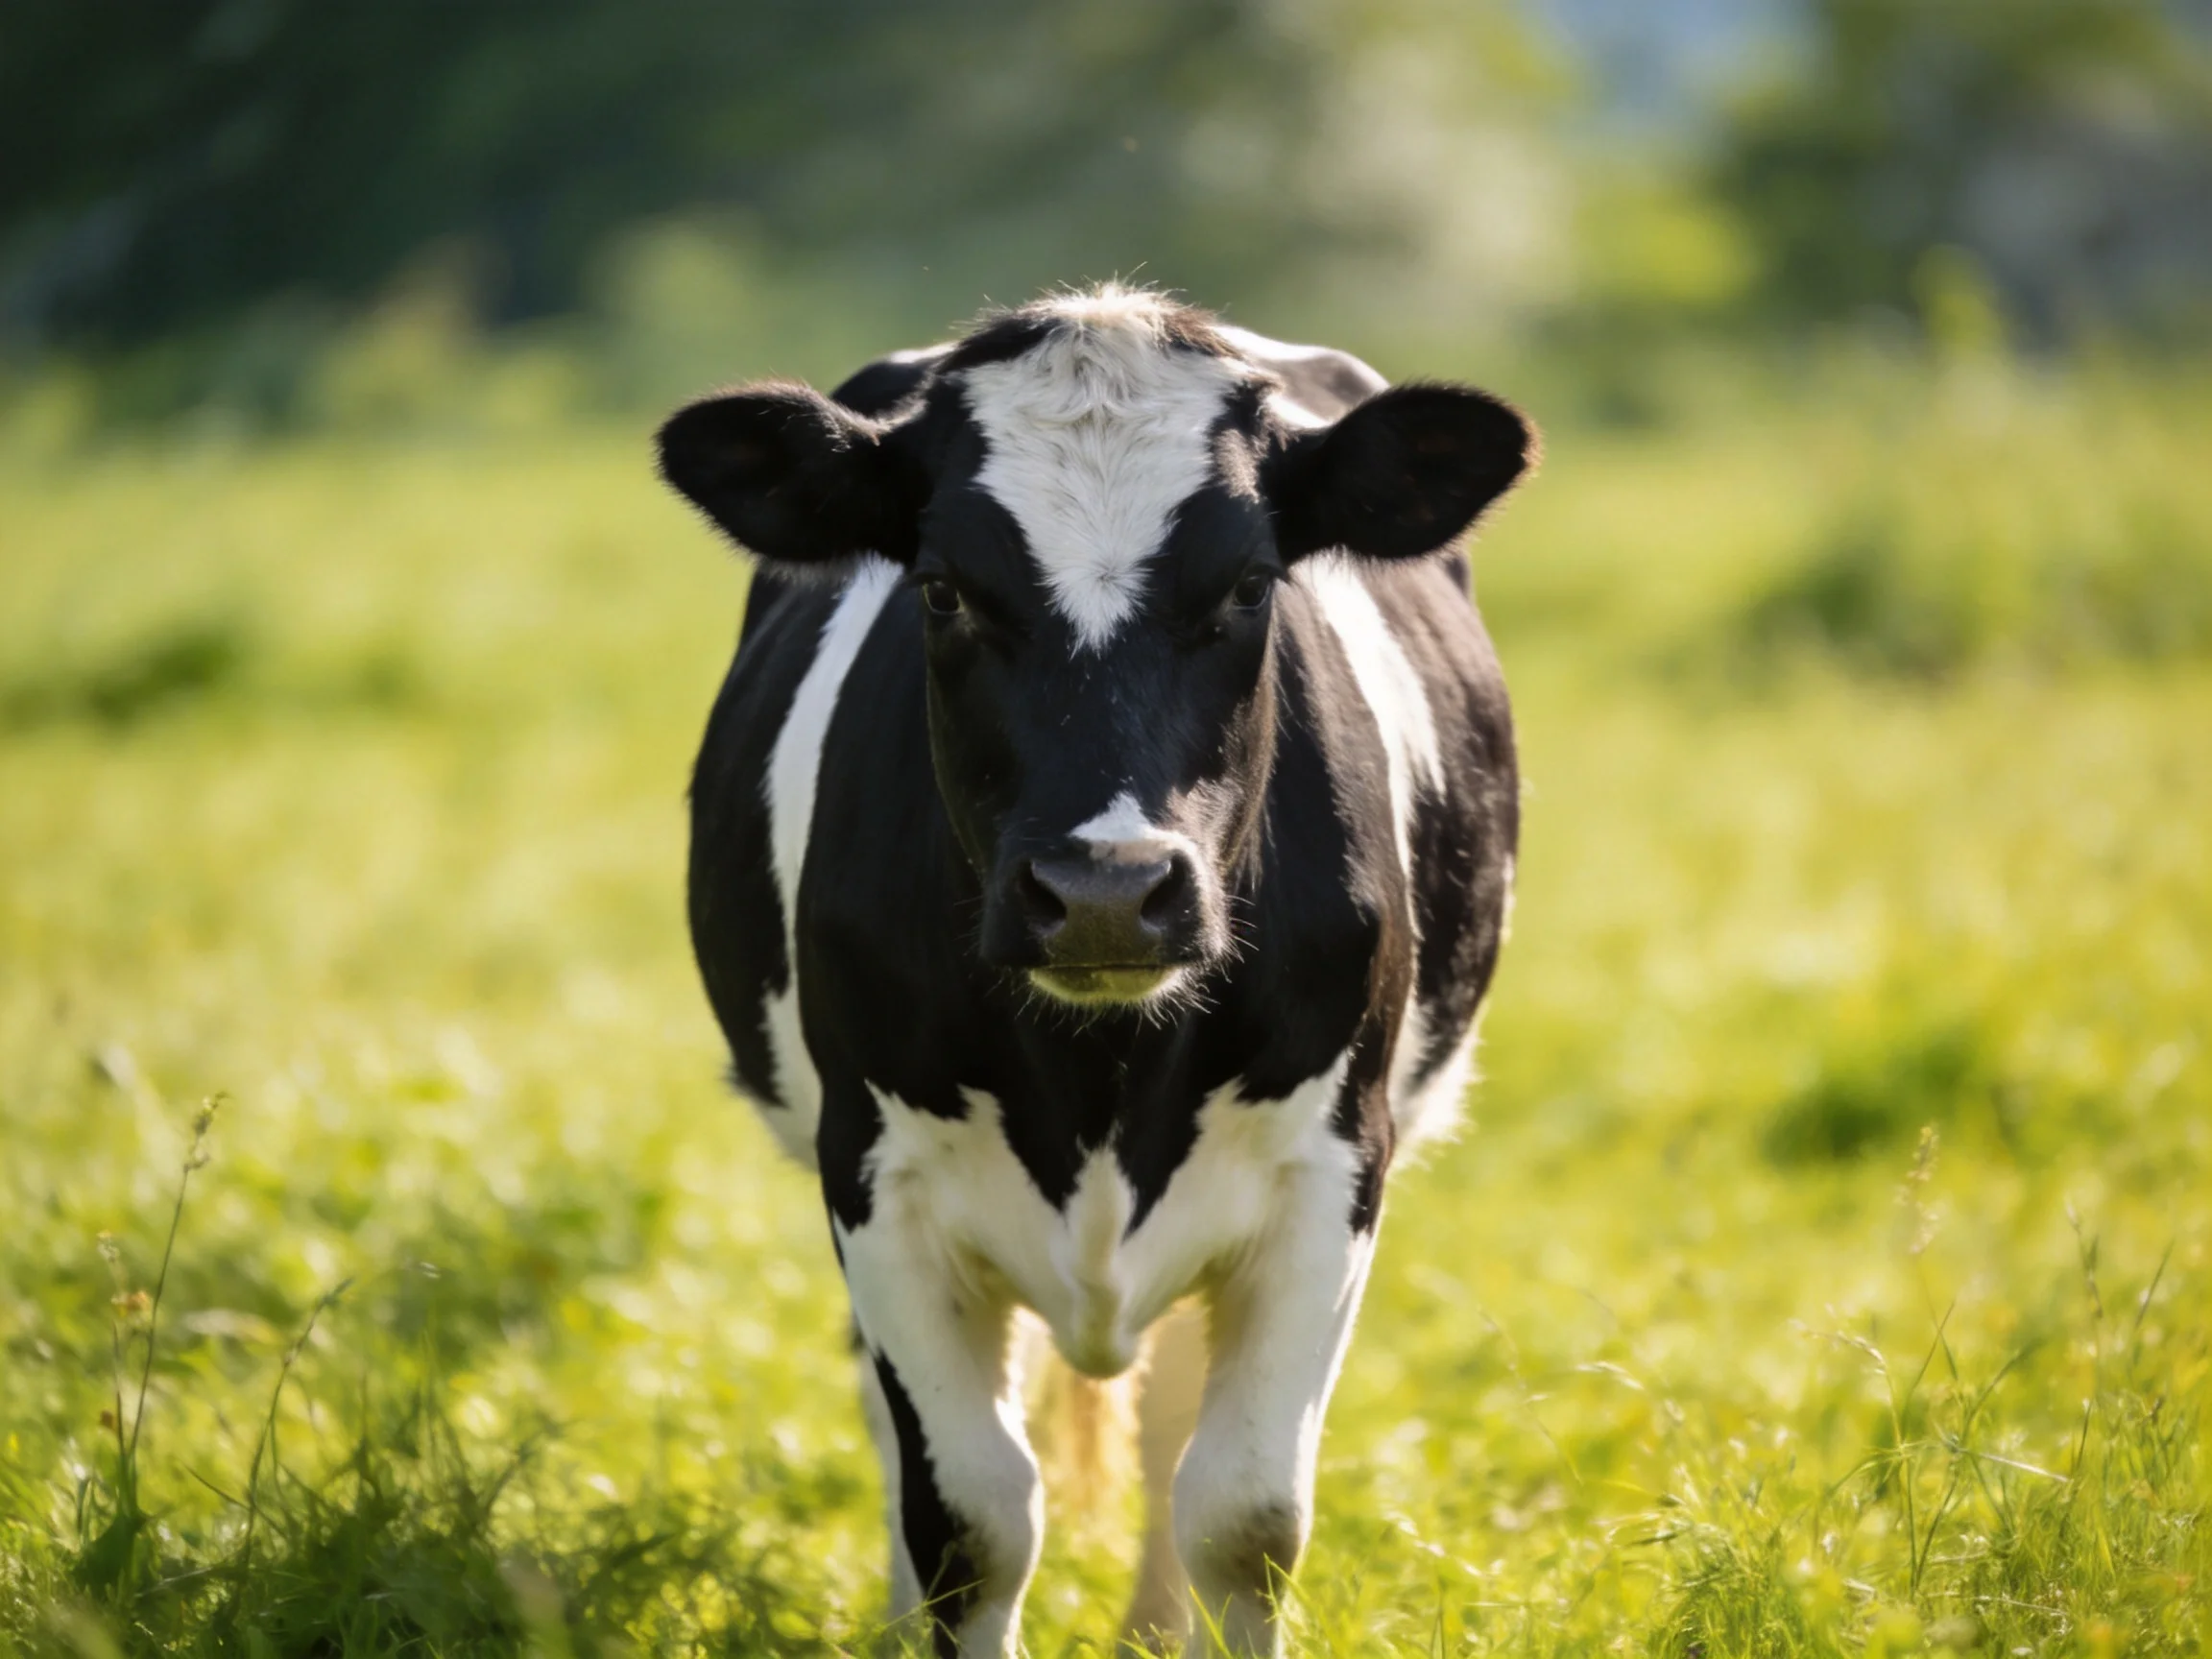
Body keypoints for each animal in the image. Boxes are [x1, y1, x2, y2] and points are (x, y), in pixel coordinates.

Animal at [658, 286, 1533, 1656]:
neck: (1102, 1072)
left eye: (1248, 584)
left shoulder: (1333, 1164)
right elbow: (968, 1520)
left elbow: (1244, 1512)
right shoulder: (876, 1168)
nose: (1106, 889)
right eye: (944, 592)